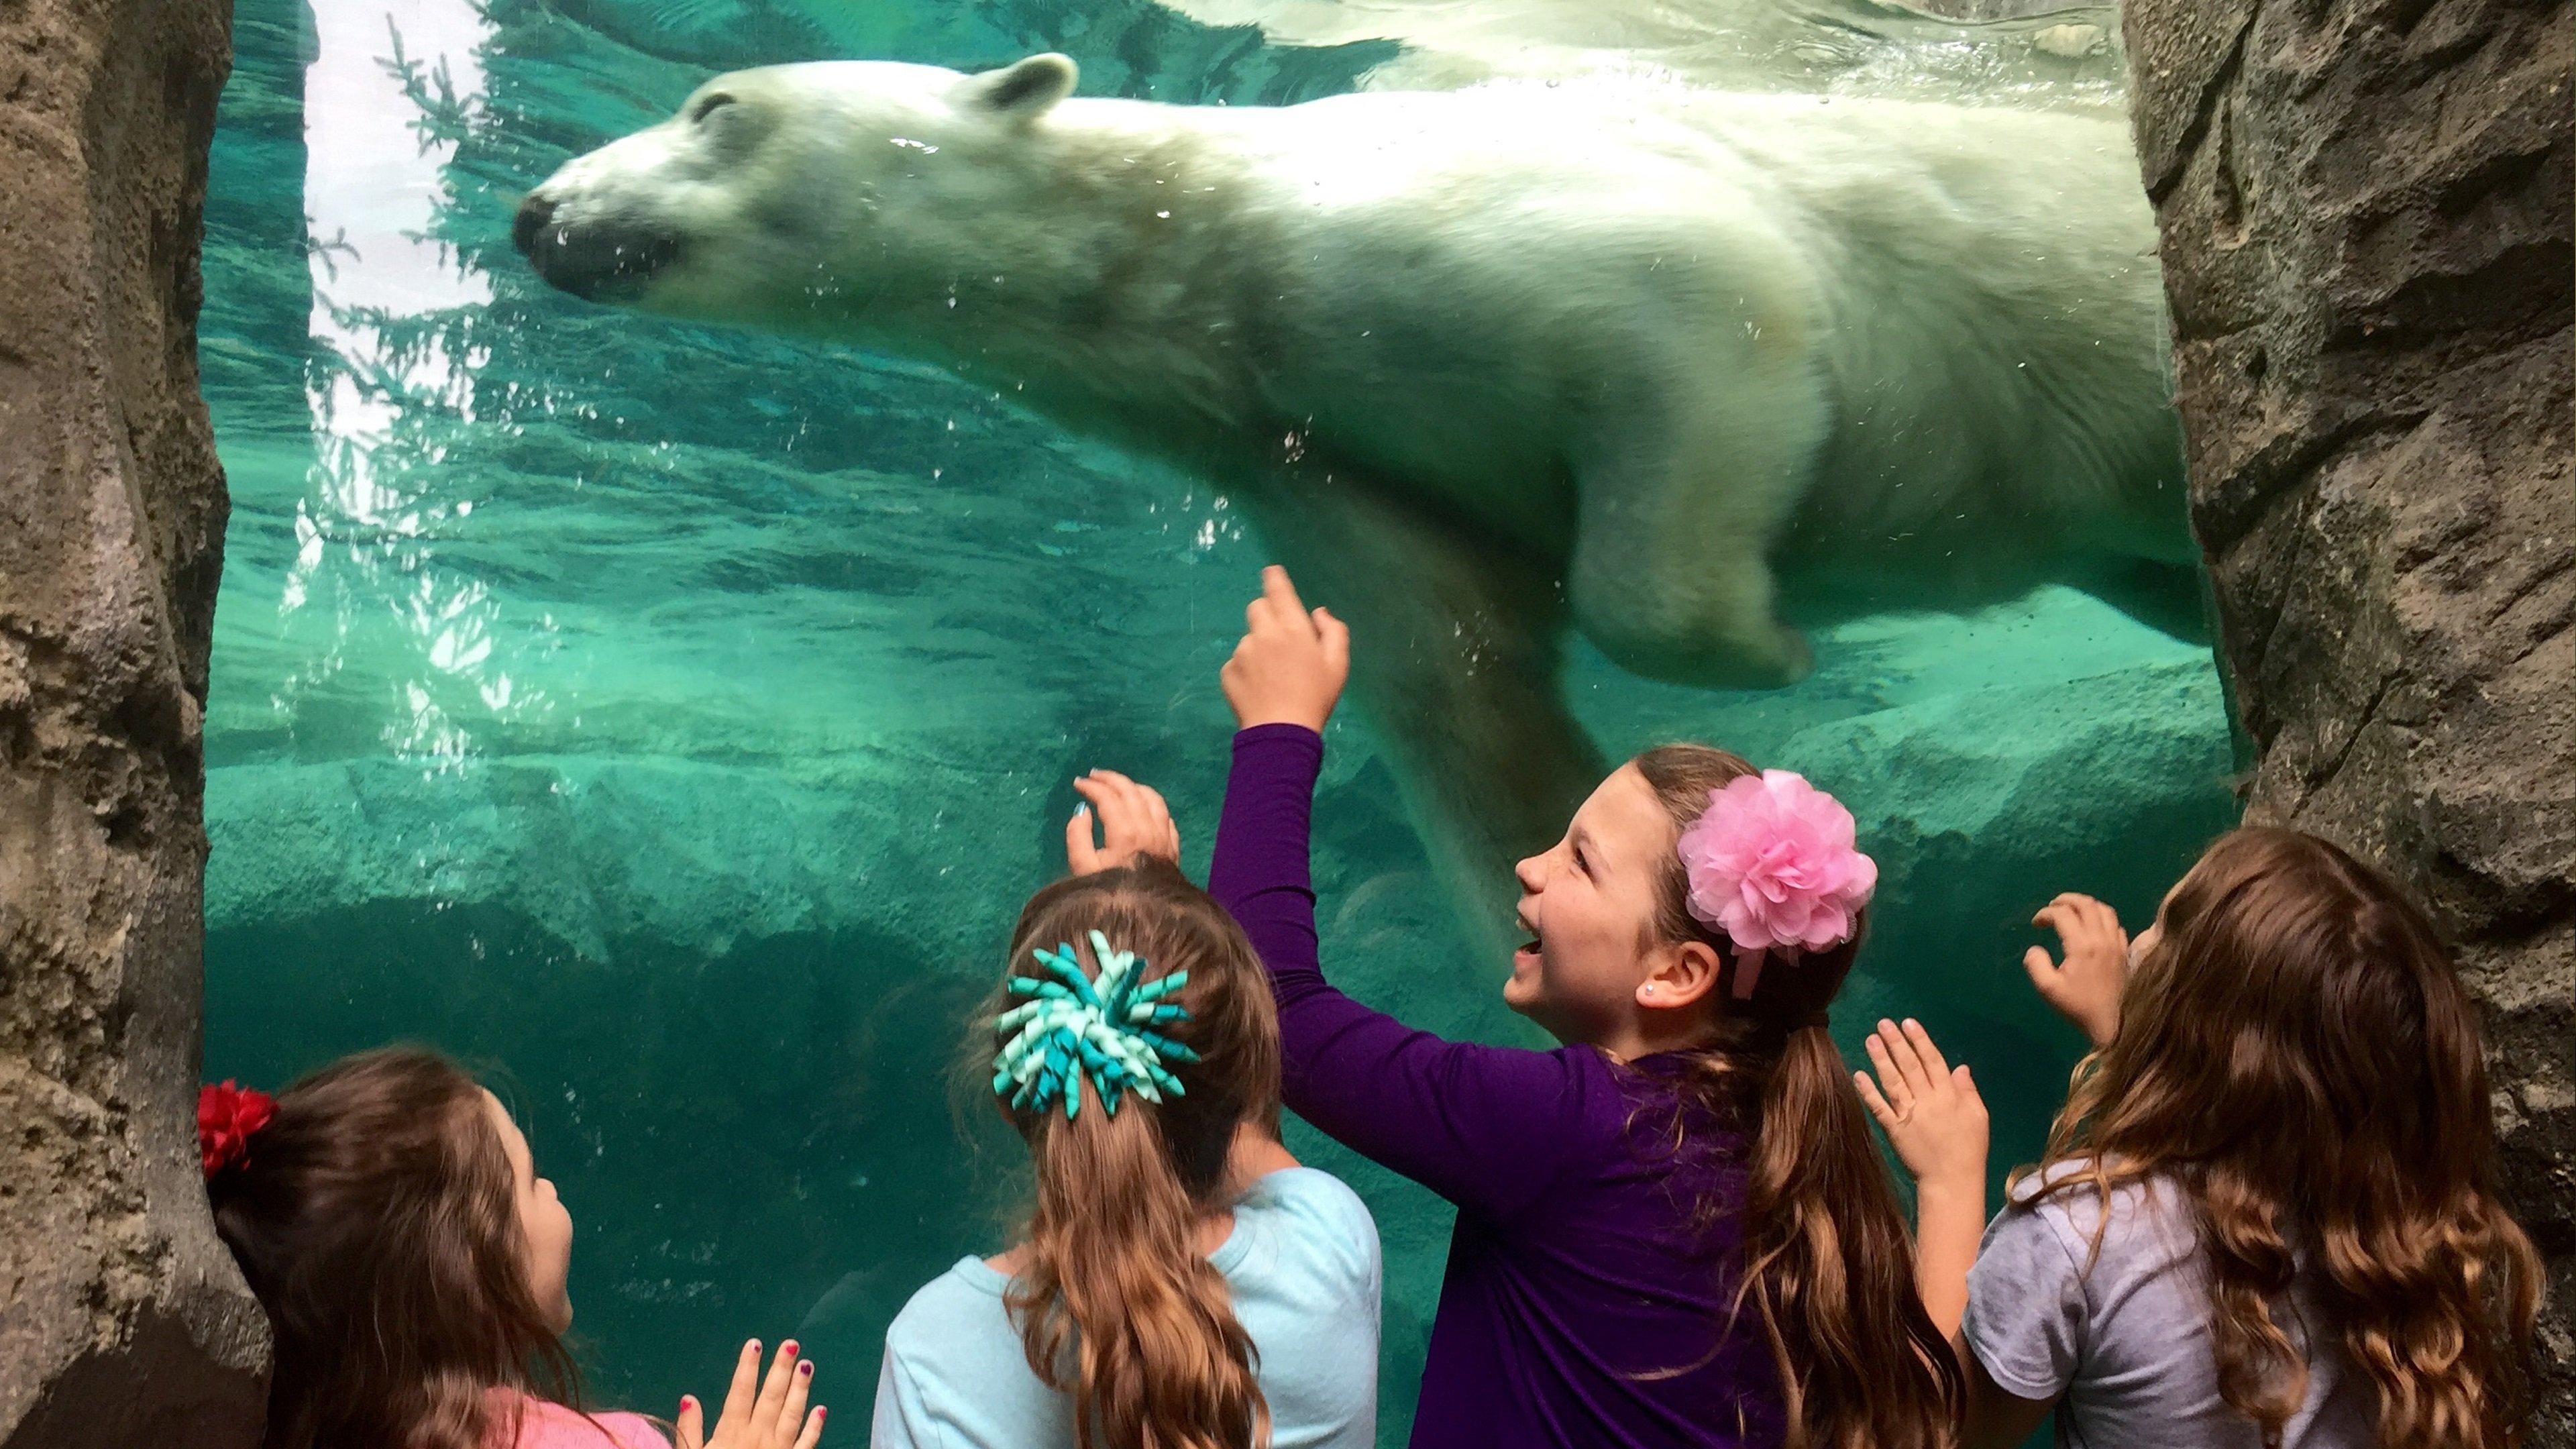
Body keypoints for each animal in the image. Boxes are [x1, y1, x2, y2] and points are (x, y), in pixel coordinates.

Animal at [523, 53, 2194, 922]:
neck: (1185, 251)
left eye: (717, 106)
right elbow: (1458, 678)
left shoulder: (1396, 245)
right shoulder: (1311, 449)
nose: (538, 210)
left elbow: (1694, 292)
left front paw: (1763, 645)